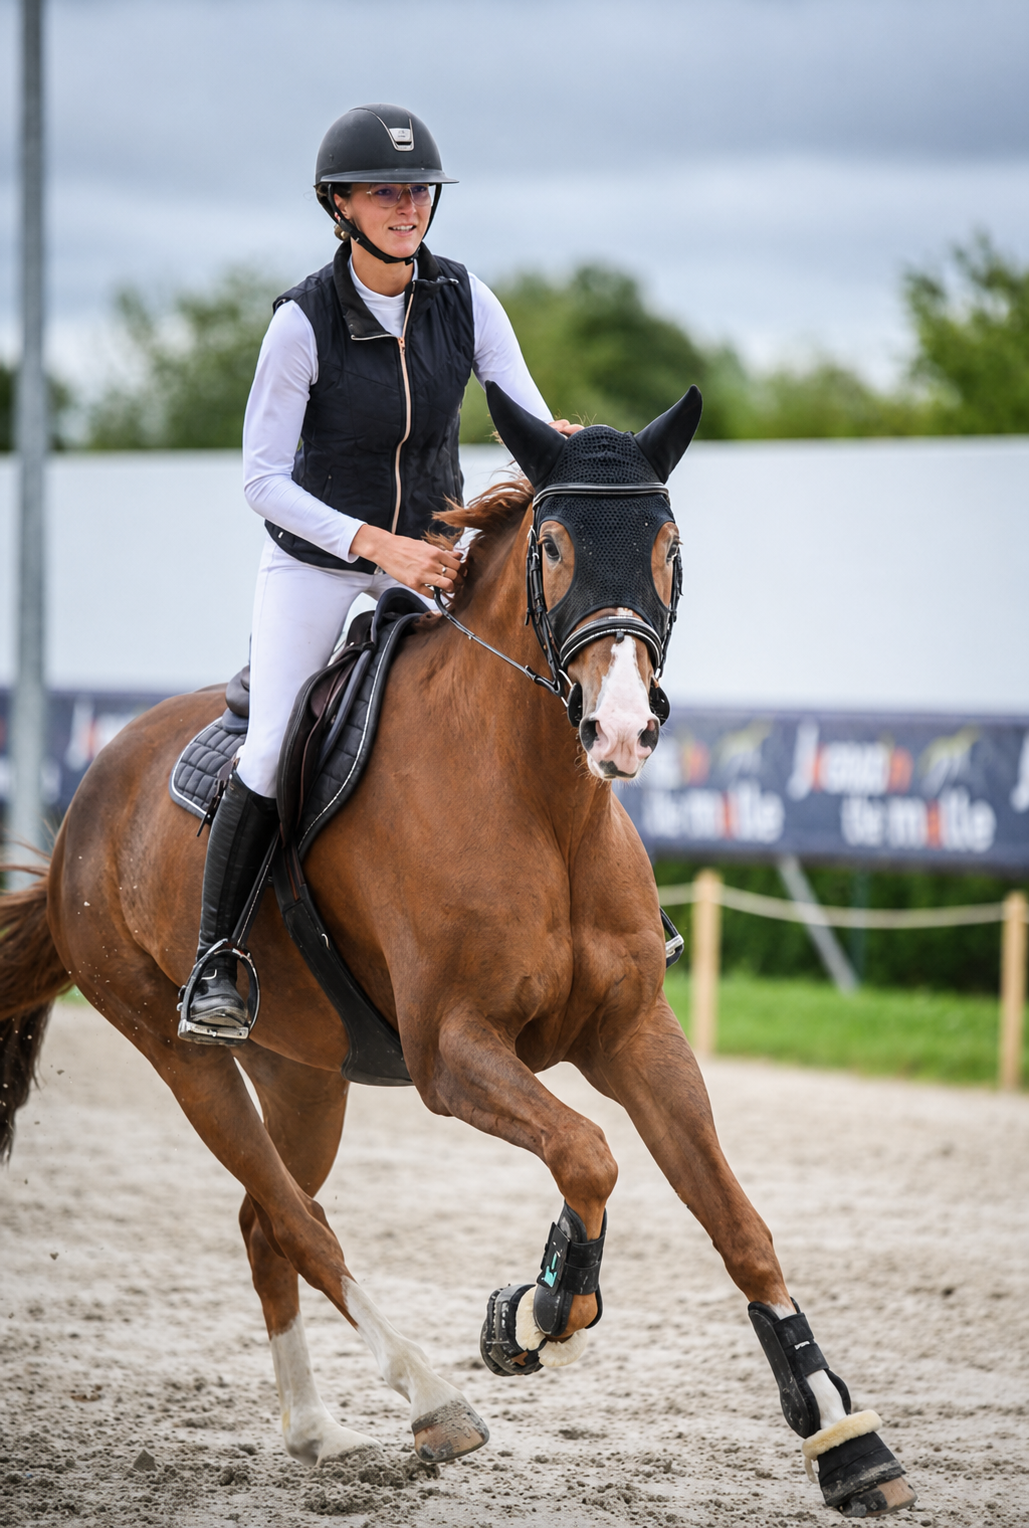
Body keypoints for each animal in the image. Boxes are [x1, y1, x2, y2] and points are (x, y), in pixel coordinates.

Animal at [0, 384, 915, 1517]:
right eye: (554, 547)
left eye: (671, 547)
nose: (621, 728)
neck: (542, 799)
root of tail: (80, 815)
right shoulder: (453, 1051)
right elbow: (587, 1151)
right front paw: (540, 1311)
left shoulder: (635, 1033)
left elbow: (735, 1221)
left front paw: (844, 1439)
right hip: (182, 1053)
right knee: (300, 1221)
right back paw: (433, 1400)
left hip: (304, 1071)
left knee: (268, 1221)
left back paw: (318, 1431)